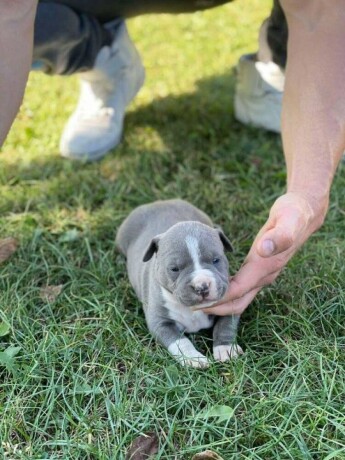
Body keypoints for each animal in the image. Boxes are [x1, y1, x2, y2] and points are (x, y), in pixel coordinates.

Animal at [115, 199, 242, 368]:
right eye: (174, 269)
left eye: (216, 260)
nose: (202, 286)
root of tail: (159, 202)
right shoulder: (160, 323)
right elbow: (180, 342)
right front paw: (194, 358)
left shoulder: (230, 305)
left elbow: (225, 325)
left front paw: (225, 348)